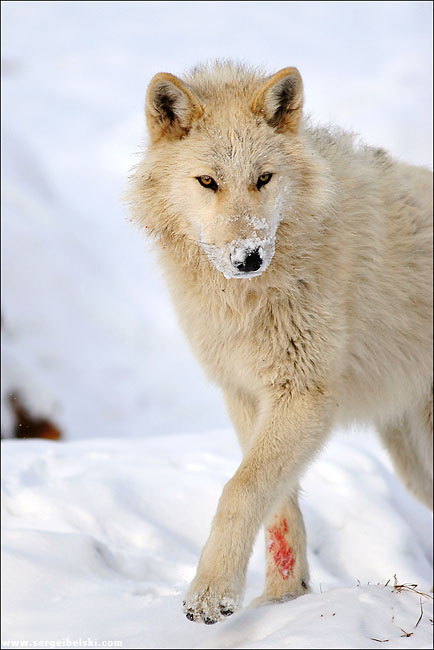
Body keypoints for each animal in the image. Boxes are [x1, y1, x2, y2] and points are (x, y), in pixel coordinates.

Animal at [128, 61, 433, 624]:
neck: (248, 301)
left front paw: (210, 593)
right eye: (208, 182)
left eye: (263, 179)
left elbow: (240, 489)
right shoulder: (246, 394)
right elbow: (278, 504)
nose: (248, 257)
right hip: (412, 461)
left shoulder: (305, 394)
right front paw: (282, 599)